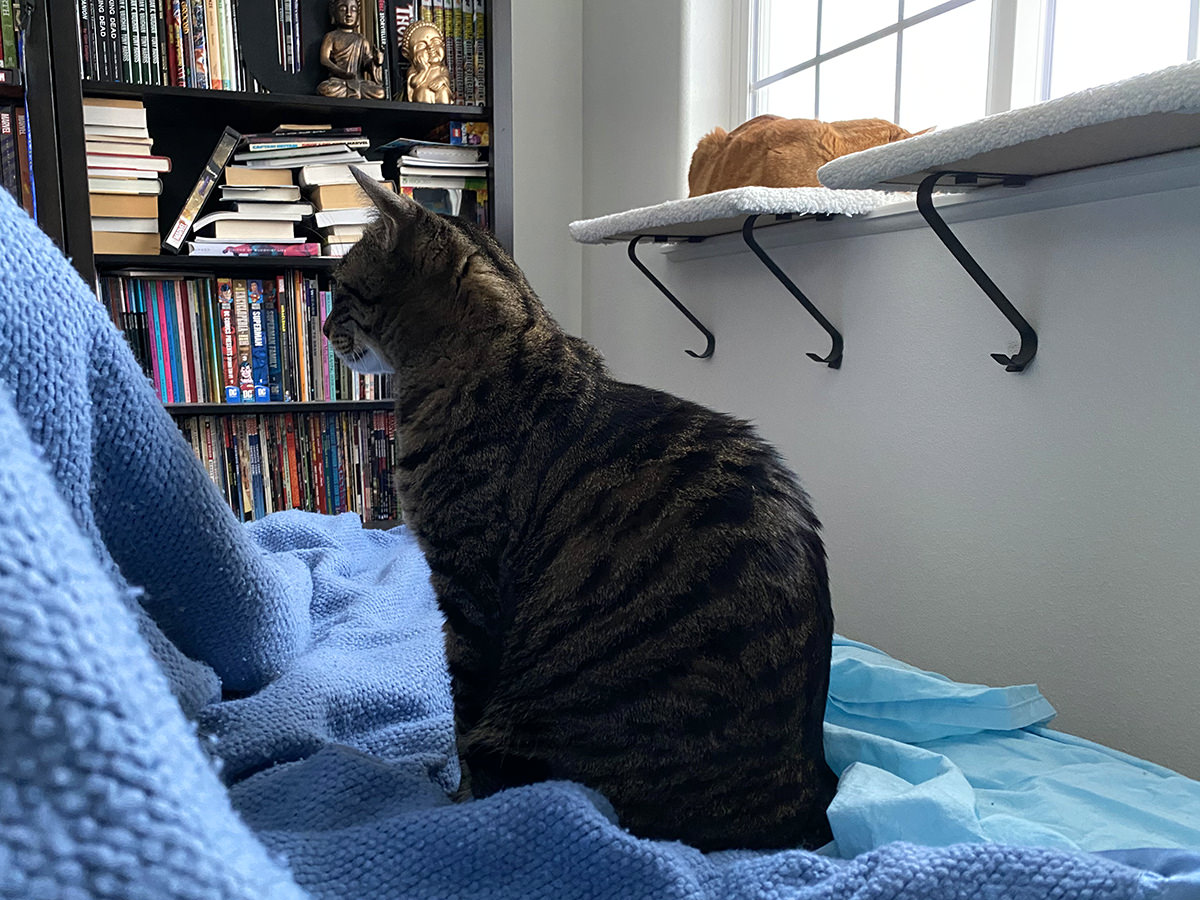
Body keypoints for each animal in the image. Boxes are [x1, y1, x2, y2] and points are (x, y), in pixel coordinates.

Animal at [324, 169, 840, 854]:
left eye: (339, 289)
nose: (323, 329)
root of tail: (804, 803)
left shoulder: (466, 585)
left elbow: (463, 713)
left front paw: (456, 799)